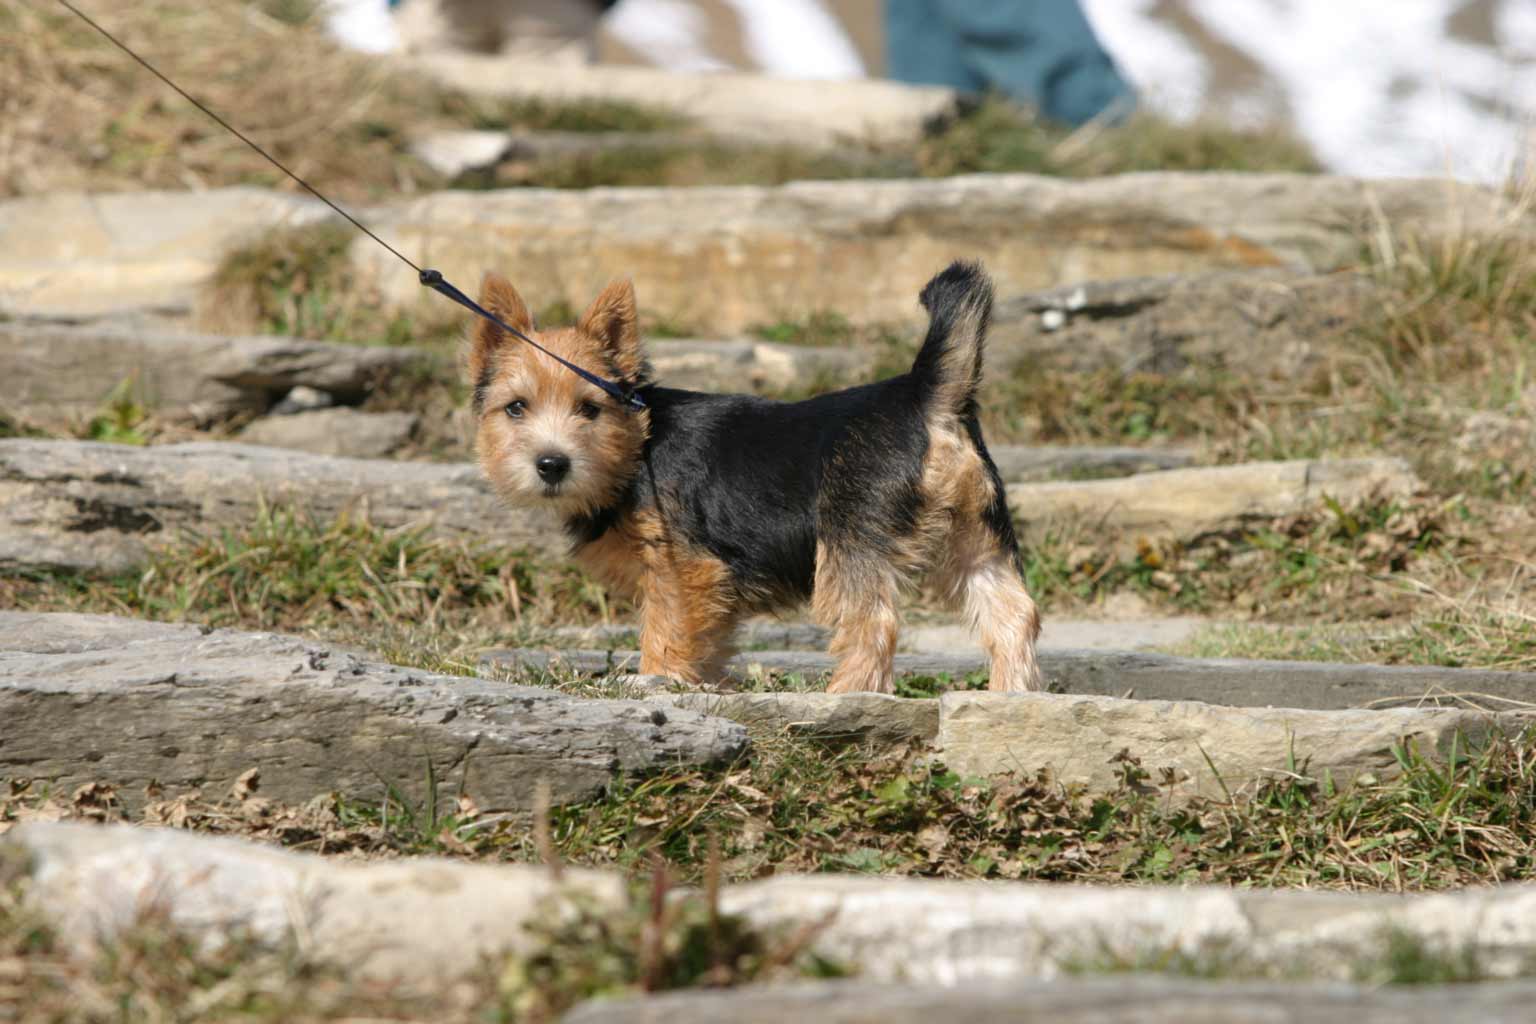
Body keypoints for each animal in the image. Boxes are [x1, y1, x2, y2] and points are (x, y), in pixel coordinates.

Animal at [466, 262, 1044, 696]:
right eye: (515, 408)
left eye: (589, 409)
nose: (551, 463)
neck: (638, 443)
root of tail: (927, 395)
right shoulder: (709, 587)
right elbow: (709, 638)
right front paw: (702, 683)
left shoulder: (681, 569)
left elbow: (665, 631)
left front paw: (656, 681)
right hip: (976, 537)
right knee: (1013, 616)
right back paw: (1011, 697)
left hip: (850, 542)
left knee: (873, 623)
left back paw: (846, 693)